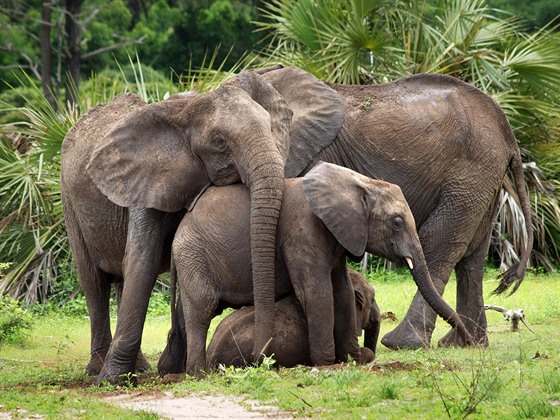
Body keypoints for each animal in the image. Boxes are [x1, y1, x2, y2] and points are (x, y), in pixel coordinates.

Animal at [60, 69, 328, 384]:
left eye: (271, 127)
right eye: (220, 141)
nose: (259, 360)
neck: (184, 112)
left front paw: (170, 368)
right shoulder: (146, 180)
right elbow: (142, 262)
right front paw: (112, 380)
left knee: (120, 281)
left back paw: (140, 367)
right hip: (69, 201)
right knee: (93, 282)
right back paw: (97, 370)